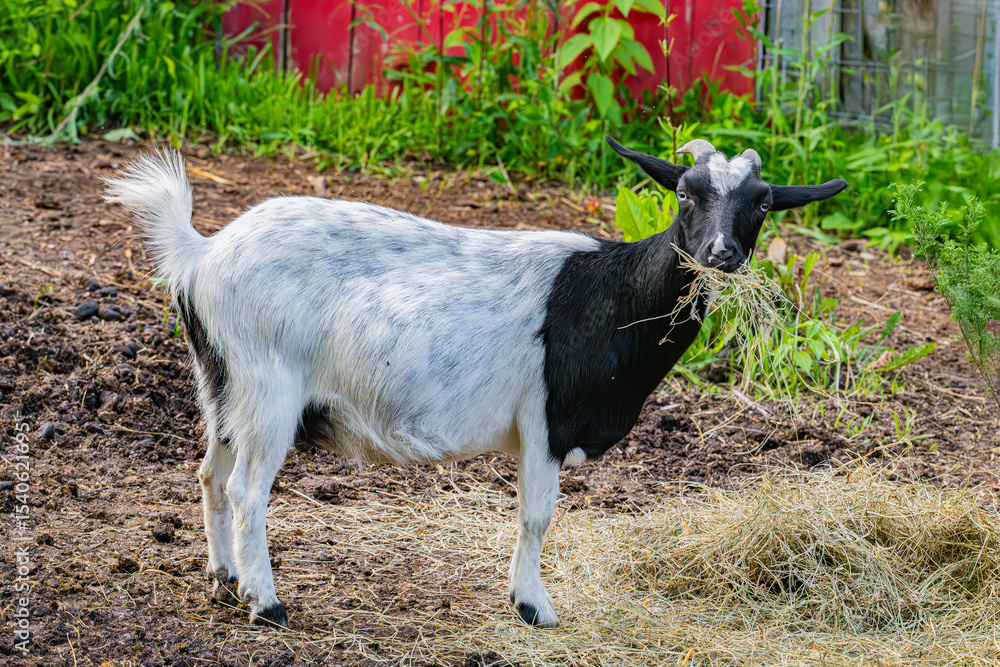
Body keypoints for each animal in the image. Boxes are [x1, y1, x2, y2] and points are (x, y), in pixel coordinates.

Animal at [104, 139, 846, 629]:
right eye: (686, 192)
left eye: (762, 205)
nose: (723, 254)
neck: (614, 294)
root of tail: (201, 254)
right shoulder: (547, 423)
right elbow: (537, 515)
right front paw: (534, 606)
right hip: (268, 390)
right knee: (246, 488)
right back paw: (265, 600)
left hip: (221, 383)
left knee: (208, 472)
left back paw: (222, 575)